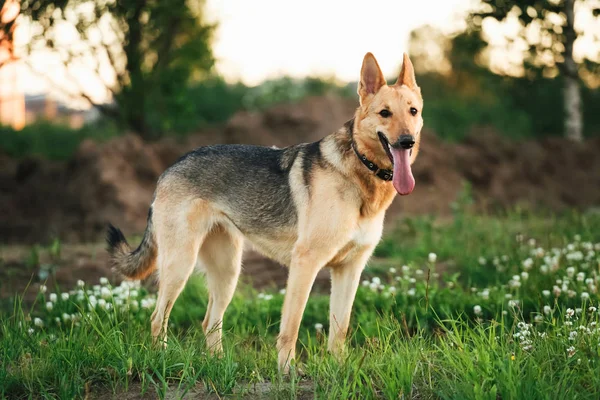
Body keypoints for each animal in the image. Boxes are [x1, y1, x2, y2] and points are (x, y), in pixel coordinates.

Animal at [108, 51, 424, 374]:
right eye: (385, 113)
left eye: (413, 111)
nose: (407, 141)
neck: (361, 169)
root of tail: (169, 168)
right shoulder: (305, 263)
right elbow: (292, 327)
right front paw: (287, 372)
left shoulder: (349, 269)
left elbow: (340, 329)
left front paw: (340, 369)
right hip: (180, 265)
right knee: (158, 318)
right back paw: (162, 361)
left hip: (228, 271)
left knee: (210, 322)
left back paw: (220, 366)